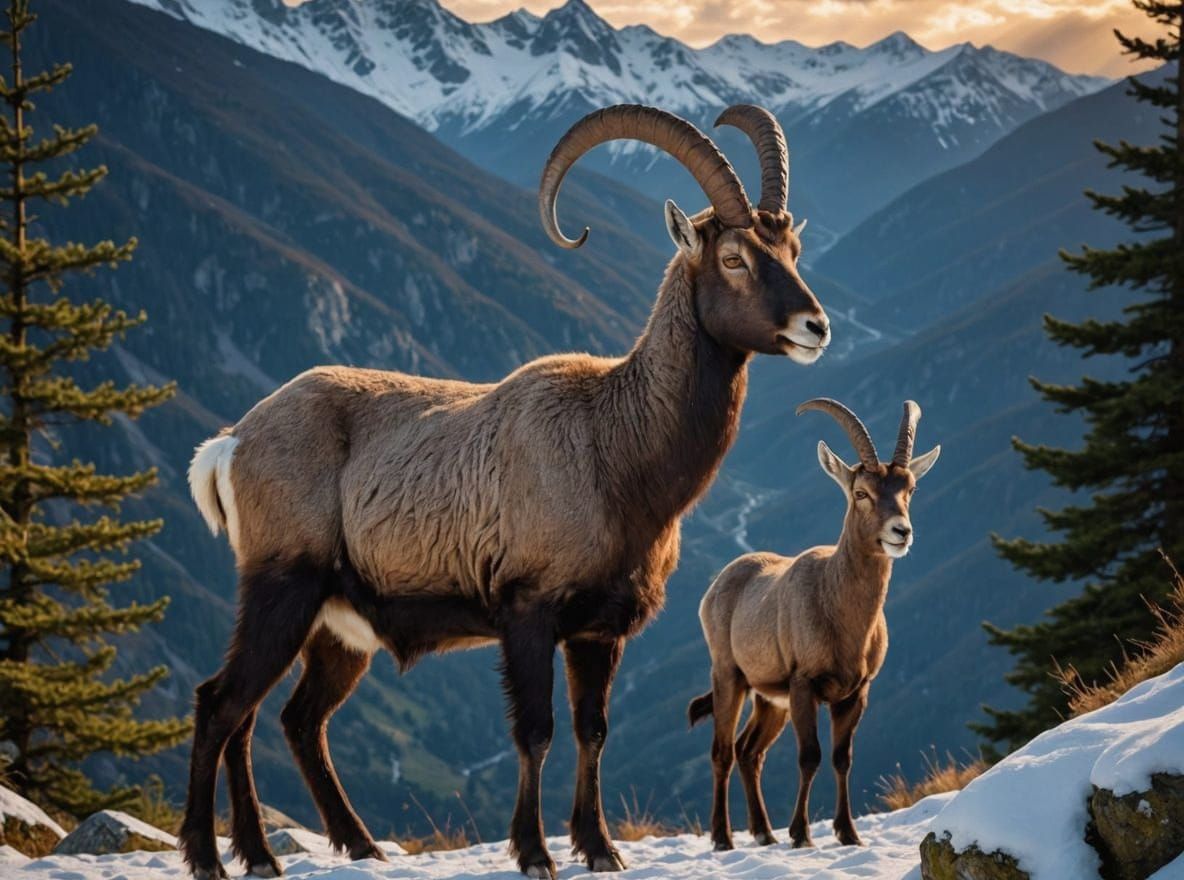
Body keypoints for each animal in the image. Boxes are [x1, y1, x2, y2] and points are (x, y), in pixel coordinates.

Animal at [179, 104, 832, 880]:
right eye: (733, 257)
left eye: (791, 247)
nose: (815, 327)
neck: (615, 447)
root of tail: (232, 442)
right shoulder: (528, 611)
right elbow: (536, 731)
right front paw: (534, 851)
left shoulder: (598, 629)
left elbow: (593, 731)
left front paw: (599, 847)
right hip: (282, 589)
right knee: (221, 703)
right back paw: (211, 856)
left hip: (336, 626)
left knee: (287, 719)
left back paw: (320, 849)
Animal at [689, 398, 940, 851]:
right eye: (861, 492)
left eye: (910, 489)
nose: (901, 532)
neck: (838, 612)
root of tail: (717, 586)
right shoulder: (804, 684)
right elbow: (810, 757)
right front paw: (802, 834)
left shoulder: (855, 693)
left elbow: (842, 759)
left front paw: (848, 833)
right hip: (730, 676)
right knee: (722, 751)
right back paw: (723, 837)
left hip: (770, 699)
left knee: (749, 751)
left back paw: (763, 832)